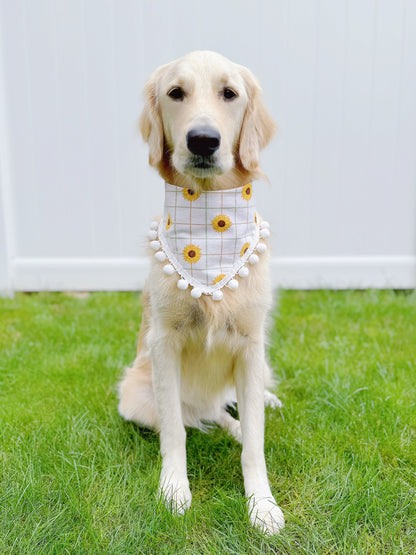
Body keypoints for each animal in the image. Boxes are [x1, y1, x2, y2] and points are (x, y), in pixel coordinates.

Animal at [118, 51, 284, 536]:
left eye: (230, 93)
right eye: (176, 93)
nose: (204, 140)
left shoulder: (250, 345)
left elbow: (255, 444)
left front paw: (262, 505)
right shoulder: (163, 344)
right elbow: (175, 431)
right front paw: (174, 490)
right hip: (135, 397)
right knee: (206, 414)